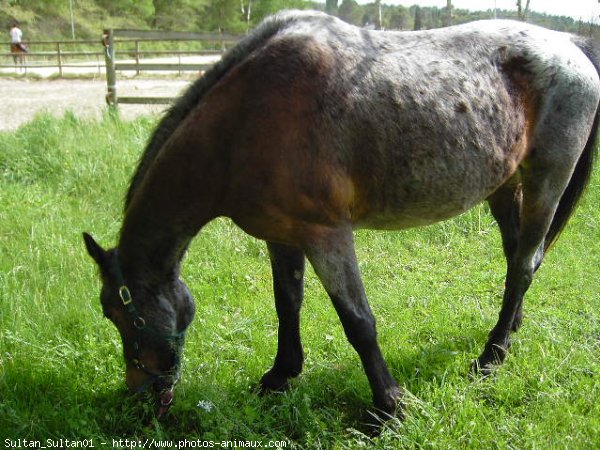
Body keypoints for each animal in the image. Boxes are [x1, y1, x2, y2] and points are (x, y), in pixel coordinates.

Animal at [84, 11, 600, 418]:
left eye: (116, 311)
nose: (141, 395)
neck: (245, 118)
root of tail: (570, 45)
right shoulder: (281, 235)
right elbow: (287, 303)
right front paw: (280, 375)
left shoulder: (326, 234)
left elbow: (358, 322)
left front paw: (390, 406)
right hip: (504, 185)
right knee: (518, 259)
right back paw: (508, 332)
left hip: (546, 182)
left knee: (524, 264)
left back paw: (491, 356)